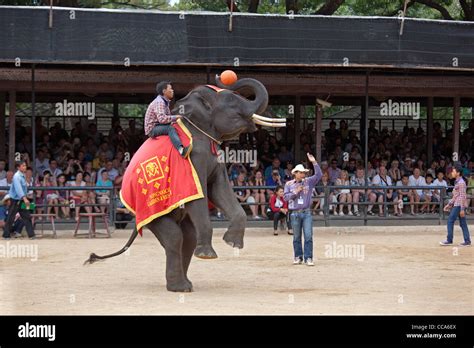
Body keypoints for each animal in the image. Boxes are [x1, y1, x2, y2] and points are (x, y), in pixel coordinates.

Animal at [84, 75, 286, 292]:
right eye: (232, 101)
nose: (223, 76)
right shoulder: (192, 159)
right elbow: (200, 196)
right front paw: (207, 255)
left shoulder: (215, 159)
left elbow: (220, 190)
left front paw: (233, 244)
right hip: (150, 211)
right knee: (175, 237)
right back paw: (180, 287)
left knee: (187, 238)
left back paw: (185, 285)